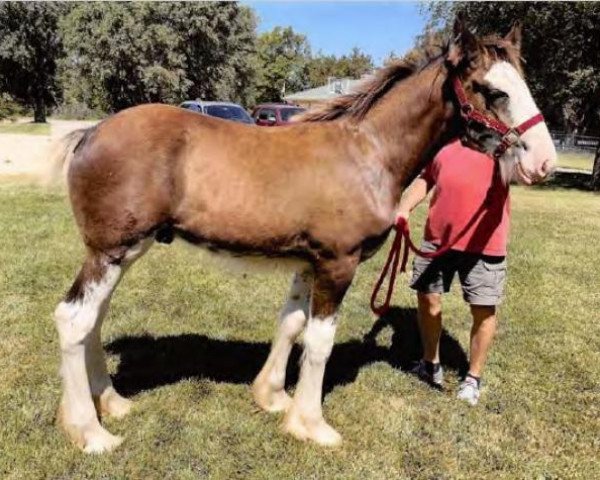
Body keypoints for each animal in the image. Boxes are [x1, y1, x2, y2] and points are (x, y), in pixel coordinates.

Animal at [49, 19, 556, 454]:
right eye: (492, 90)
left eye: (523, 83)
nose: (543, 162)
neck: (368, 154)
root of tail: (90, 132)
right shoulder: (338, 263)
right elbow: (319, 341)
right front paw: (311, 424)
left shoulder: (307, 263)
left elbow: (291, 324)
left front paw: (273, 397)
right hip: (111, 252)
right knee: (74, 319)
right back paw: (89, 432)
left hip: (122, 252)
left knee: (94, 319)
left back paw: (112, 403)